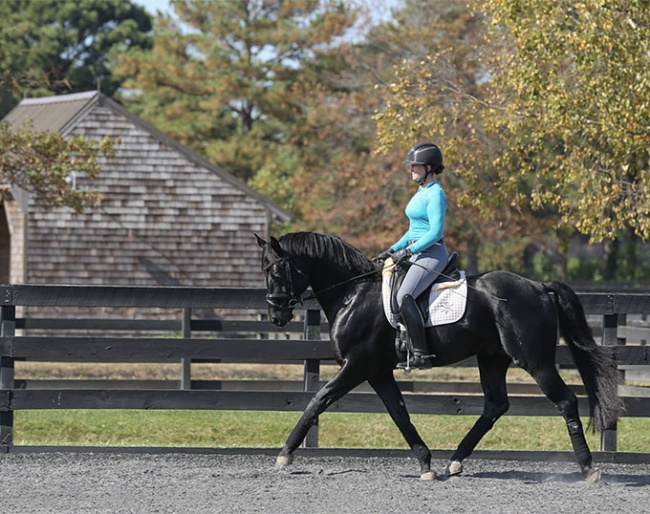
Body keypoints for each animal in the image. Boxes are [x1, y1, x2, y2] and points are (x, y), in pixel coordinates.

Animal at [254, 232, 624, 480]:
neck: (353, 293)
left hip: (535, 361)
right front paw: (425, 463)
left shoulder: (357, 365)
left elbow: (318, 400)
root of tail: (538, 286)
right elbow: (399, 414)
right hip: (492, 358)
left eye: (276, 271)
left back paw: (588, 467)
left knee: (565, 401)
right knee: (495, 405)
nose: (275, 316)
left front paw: (285, 454)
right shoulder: (377, 371)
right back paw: (455, 461)